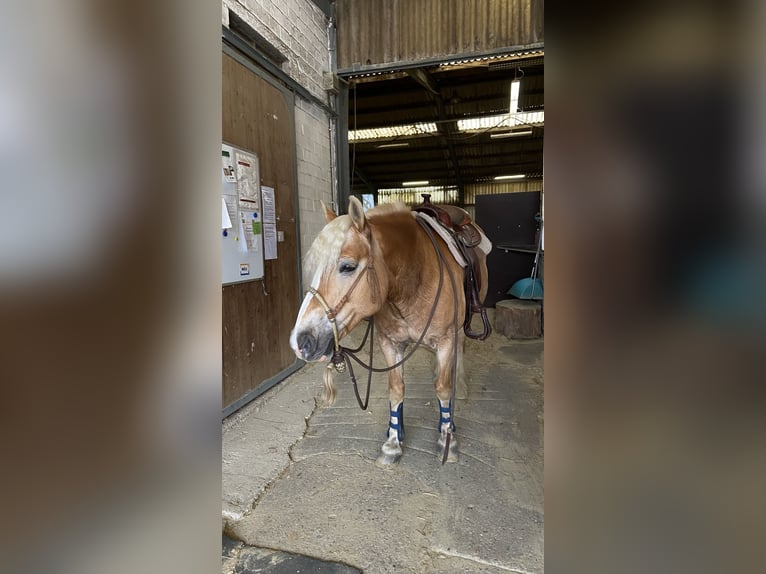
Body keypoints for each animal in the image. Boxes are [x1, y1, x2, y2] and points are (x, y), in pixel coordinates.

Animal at [288, 198, 492, 468]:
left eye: (348, 266)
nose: (301, 341)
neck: (415, 278)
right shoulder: (390, 343)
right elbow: (396, 390)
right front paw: (393, 442)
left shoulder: (446, 339)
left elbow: (443, 389)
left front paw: (447, 439)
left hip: (459, 328)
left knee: (457, 358)